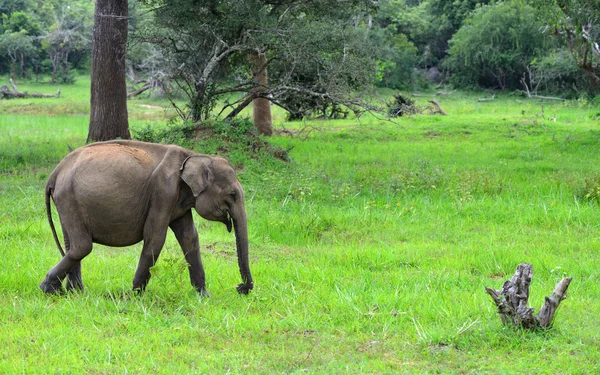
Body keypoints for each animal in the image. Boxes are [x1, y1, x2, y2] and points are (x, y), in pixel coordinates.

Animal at [38, 140, 252, 296]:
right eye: (233, 194)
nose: (240, 288)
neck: (194, 156)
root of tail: (55, 172)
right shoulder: (163, 192)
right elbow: (156, 238)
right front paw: (134, 295)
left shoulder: (179, 200)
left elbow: (189, 237)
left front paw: (203, 296)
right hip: (69, 198)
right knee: (82, 246)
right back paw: (49, 290)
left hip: (67, 201)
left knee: (71, 245)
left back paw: (74, 292)